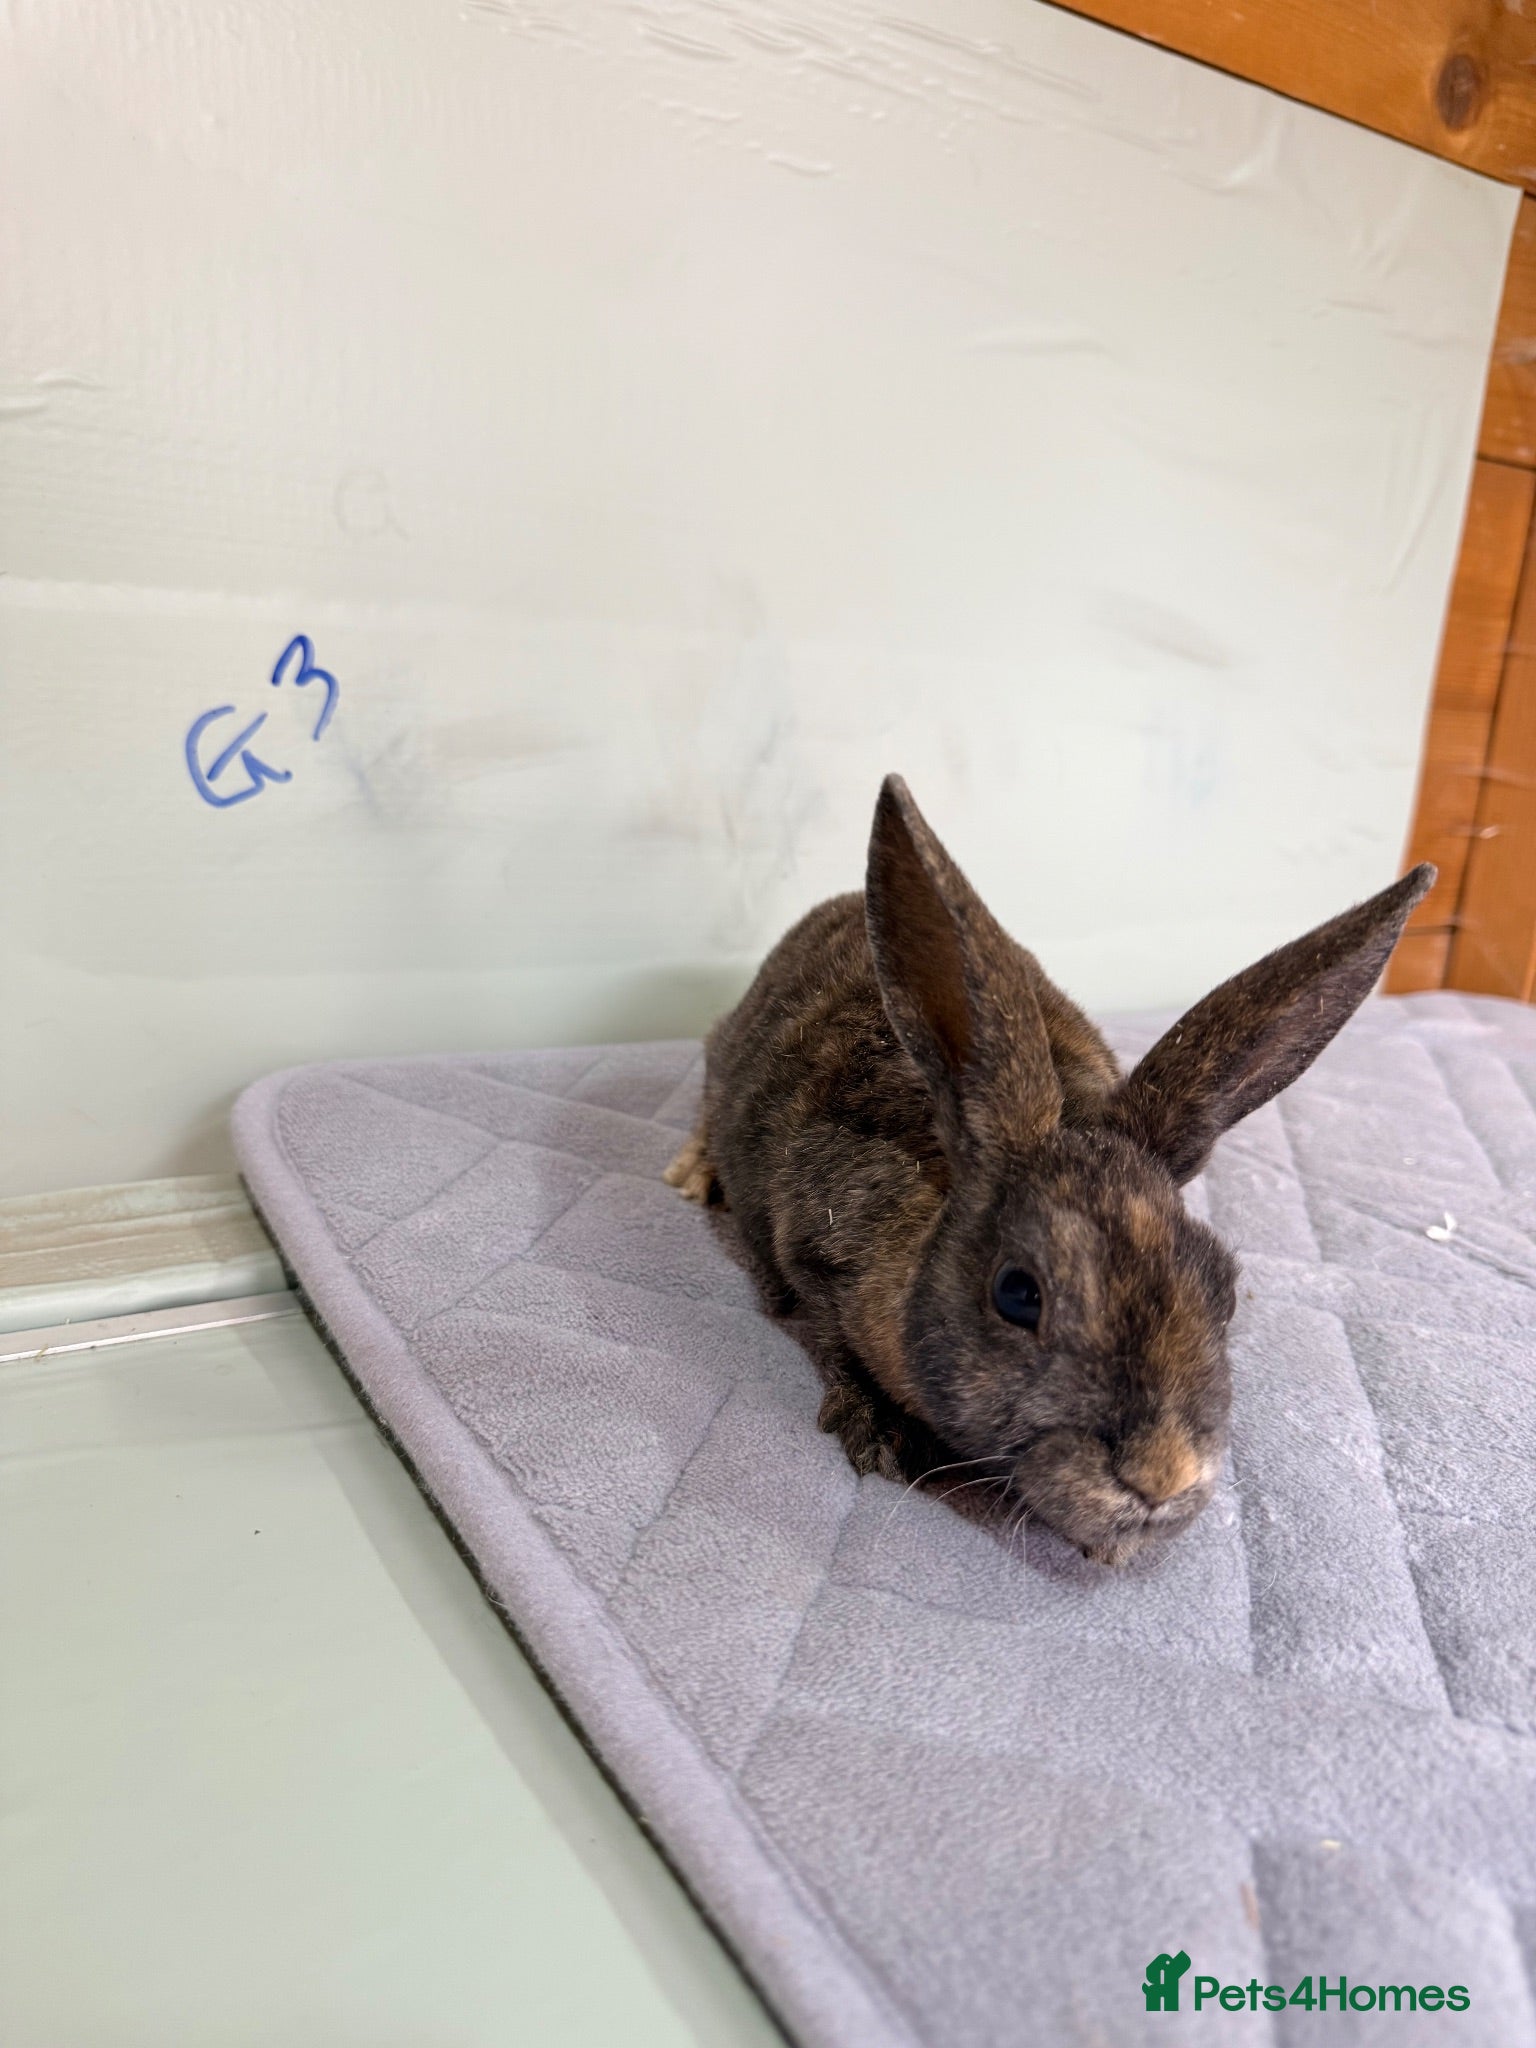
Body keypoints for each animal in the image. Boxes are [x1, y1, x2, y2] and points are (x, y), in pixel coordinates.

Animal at [665, 775, 1434, 1565]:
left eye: (1224, 1293)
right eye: (1017, 1294)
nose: (1162, 1478)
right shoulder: (809, 1251)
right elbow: (829, 1335)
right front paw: (879, 1435)